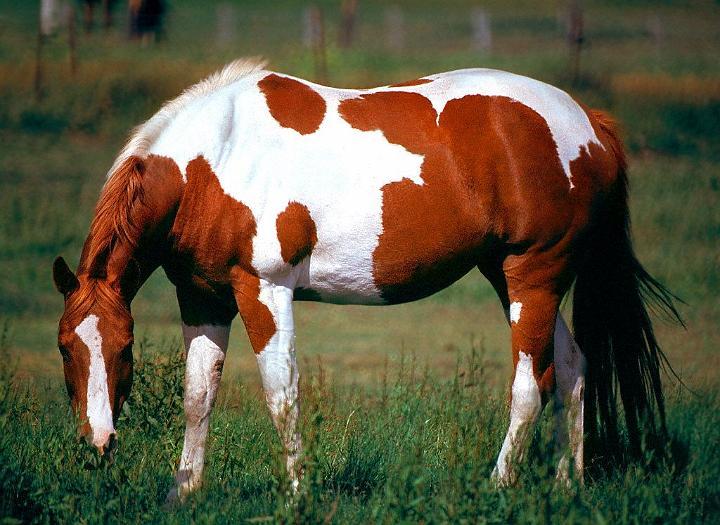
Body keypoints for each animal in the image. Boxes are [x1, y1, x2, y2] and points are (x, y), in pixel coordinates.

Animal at [53, 58, 680, 500]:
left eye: (125, 348)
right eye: (65, 349)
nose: (98, 443)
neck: (212, 161)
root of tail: (587, 123)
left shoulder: (264, 291)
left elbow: (282, 396)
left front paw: (296, 495)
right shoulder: (203, 299)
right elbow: (197, 397)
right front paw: (184, 494)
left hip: (534, 276)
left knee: (532, 384)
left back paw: (500, 486)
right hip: (512, 278)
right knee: (573, 369)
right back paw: (567, 485)